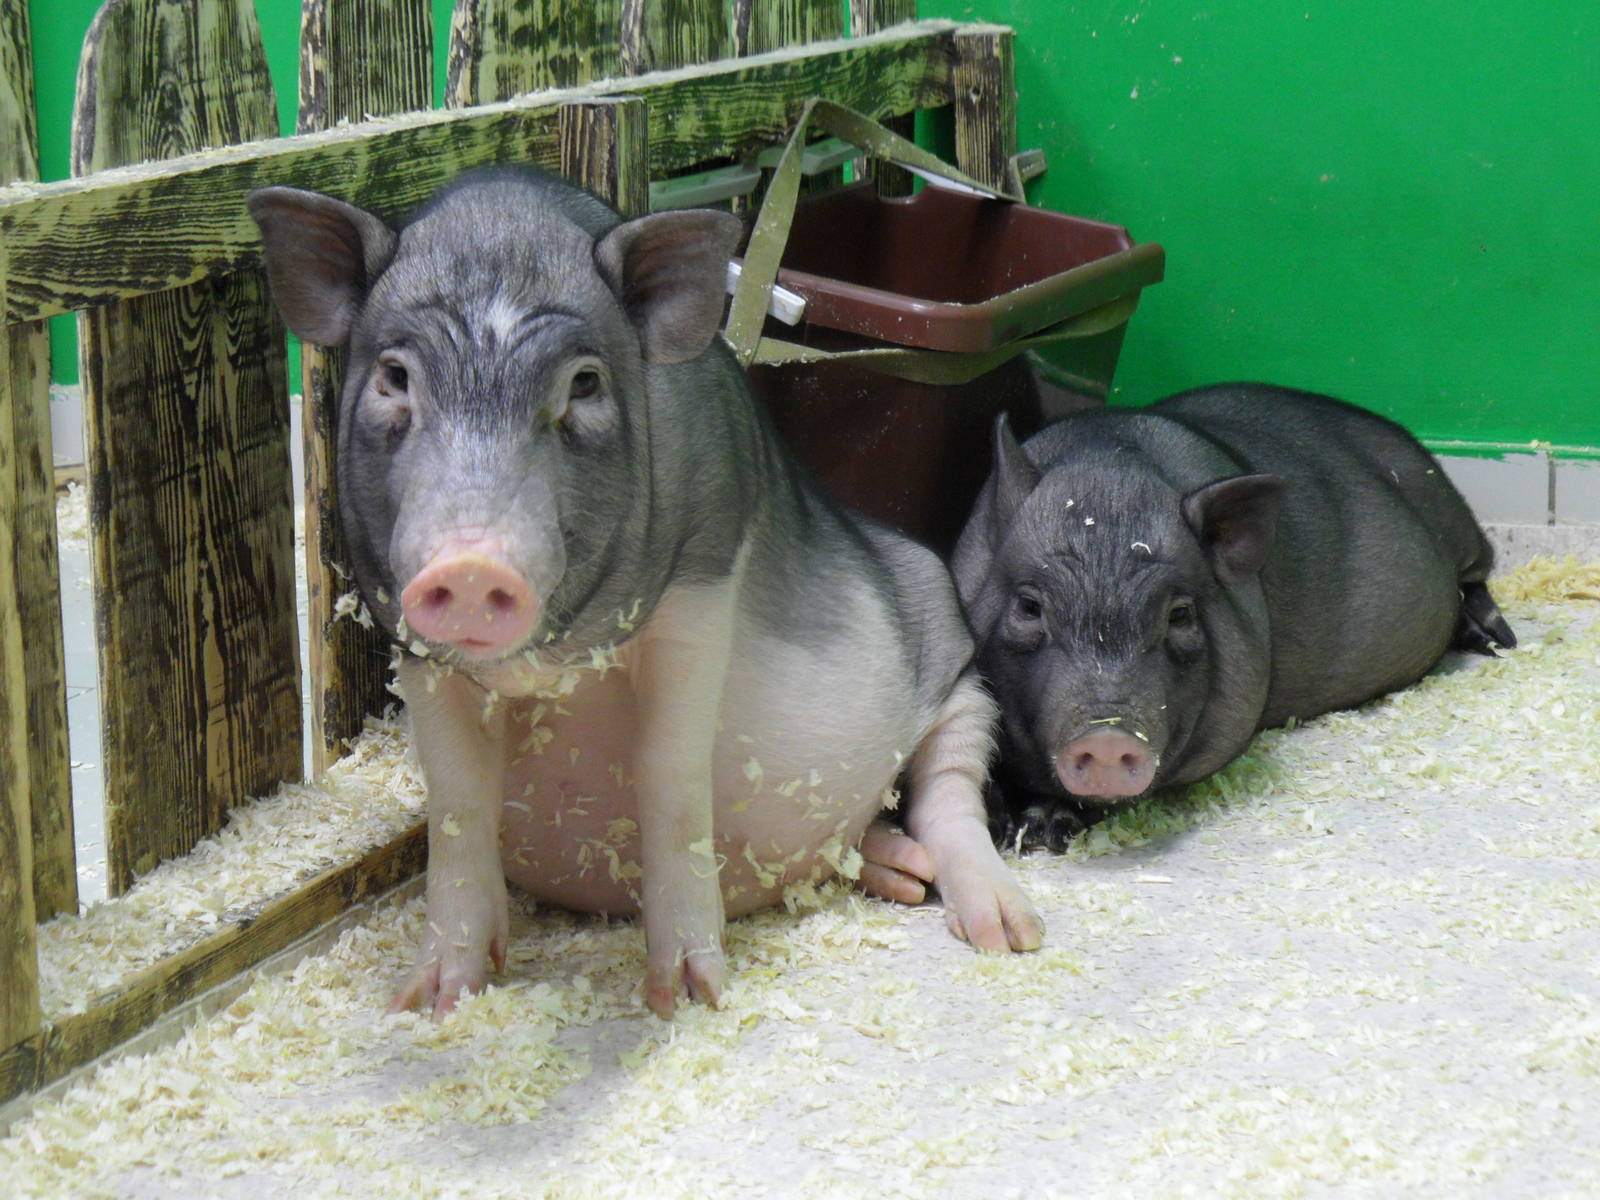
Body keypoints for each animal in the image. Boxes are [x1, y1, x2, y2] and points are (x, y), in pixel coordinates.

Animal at [248, 166, 1041, 1018]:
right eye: (395, 376)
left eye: (585, 383)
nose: (470, 567)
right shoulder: (418, 649)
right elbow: (458, 804)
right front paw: (435, 1000)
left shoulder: (702, 582)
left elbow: (671, 775)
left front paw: (690, 995)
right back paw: (901, 875)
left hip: (957, 666)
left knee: (950, 791)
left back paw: (1007, 929)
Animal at [952, 383, 1516, 850]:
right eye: (1029, 607)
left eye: (1180, 614)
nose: (1108, 738)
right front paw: (1006, 829)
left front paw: (1042, 832)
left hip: (1457, 523)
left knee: (1478, 574)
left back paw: (1495, 639)